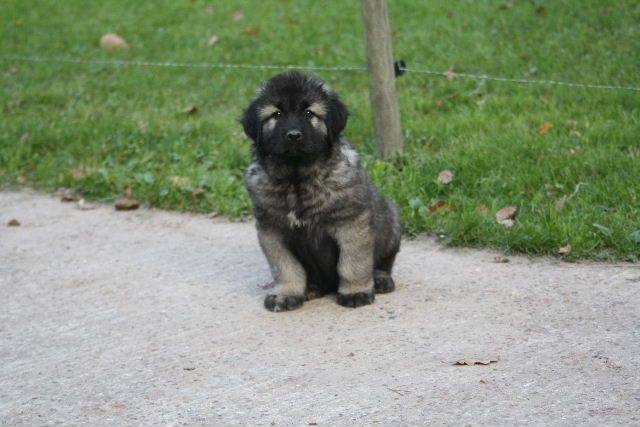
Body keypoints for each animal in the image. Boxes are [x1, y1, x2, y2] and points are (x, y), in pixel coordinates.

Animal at [241, 72, 400, 312]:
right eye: (276, 114)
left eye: (309, 113)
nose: (293, 135)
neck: (297, 180)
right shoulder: (272, 230)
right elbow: (286, 268)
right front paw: (286, 294)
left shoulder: (351, 223)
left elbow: (352, 263)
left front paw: (355, 292)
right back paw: (311, 288)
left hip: (391, 221)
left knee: (383, 262)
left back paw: (380, 279)